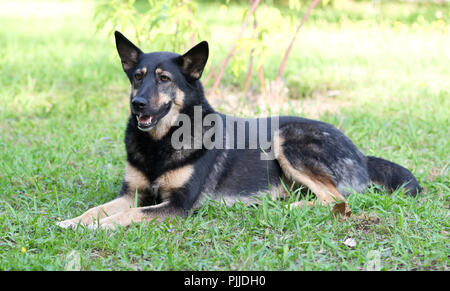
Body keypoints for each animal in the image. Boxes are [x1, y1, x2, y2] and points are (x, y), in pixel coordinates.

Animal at [57, 30, 422, 230]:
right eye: (137, 77)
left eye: (164, 79)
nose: (138, 105)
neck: (160, 143)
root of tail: (360, 154)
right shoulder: (130, 194)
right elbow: (97, 209)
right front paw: (73, 221)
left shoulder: (178, 205)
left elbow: (128, 216)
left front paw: (101, 227)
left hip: (286, 139)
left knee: (339, 202)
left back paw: (291, 207)